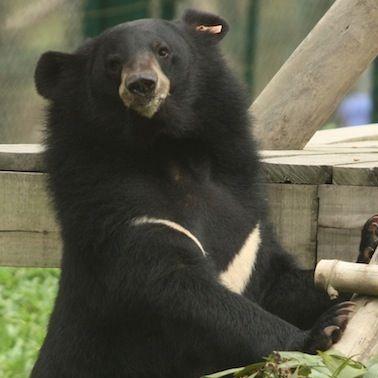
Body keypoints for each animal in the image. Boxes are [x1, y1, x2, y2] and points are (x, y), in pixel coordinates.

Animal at [31, 8, 354, 378]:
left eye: (163, 51)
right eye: (113, 64)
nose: (142, 84)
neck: (170, 151)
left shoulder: (245, 218)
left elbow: (277, 282)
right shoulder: (120, 210)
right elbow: (186, 294)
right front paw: (322, 330)